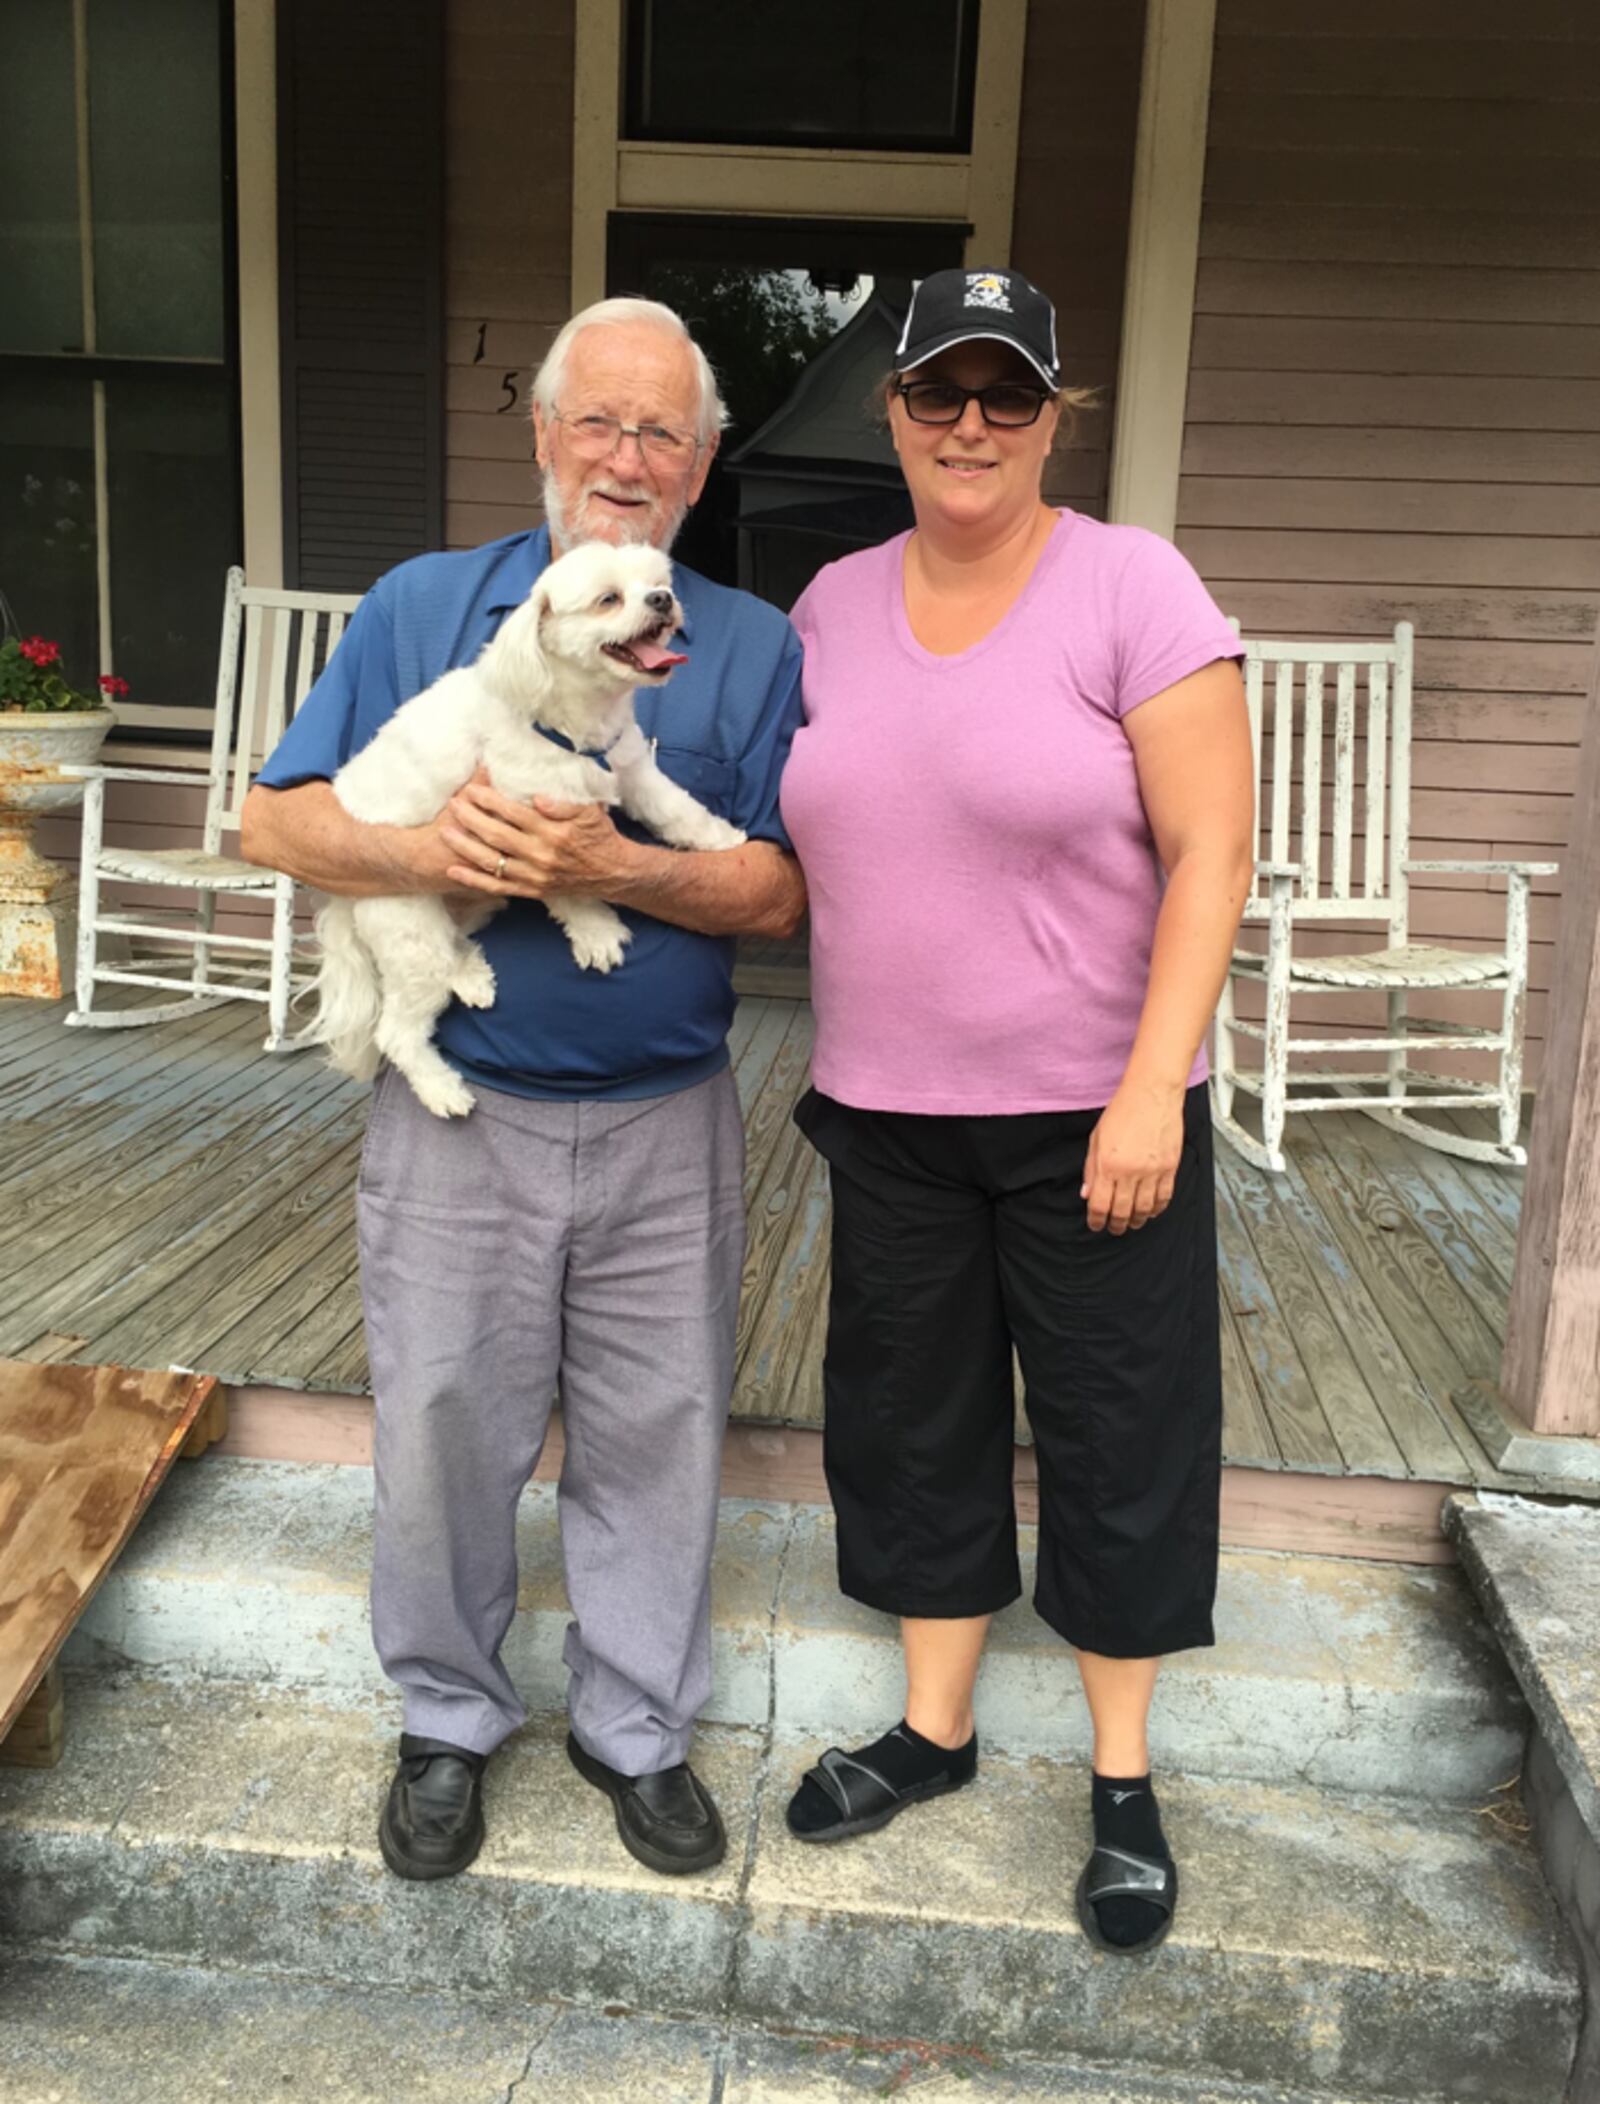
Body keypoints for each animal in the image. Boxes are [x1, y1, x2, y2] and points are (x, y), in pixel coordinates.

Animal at [313, 542, 749, 1119]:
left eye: (659, 583)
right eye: (609, 599)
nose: (661, 600)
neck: (569, 725)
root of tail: (345, 895)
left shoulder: (632, 771)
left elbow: (678, 811)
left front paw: (722, 840)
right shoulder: (529, 820)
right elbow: (569, 889)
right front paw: (598, 932)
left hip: (468, 905)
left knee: (453, 948)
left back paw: (471, 977)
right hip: (411, 929)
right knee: (398, 1032)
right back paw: (443, 1090)